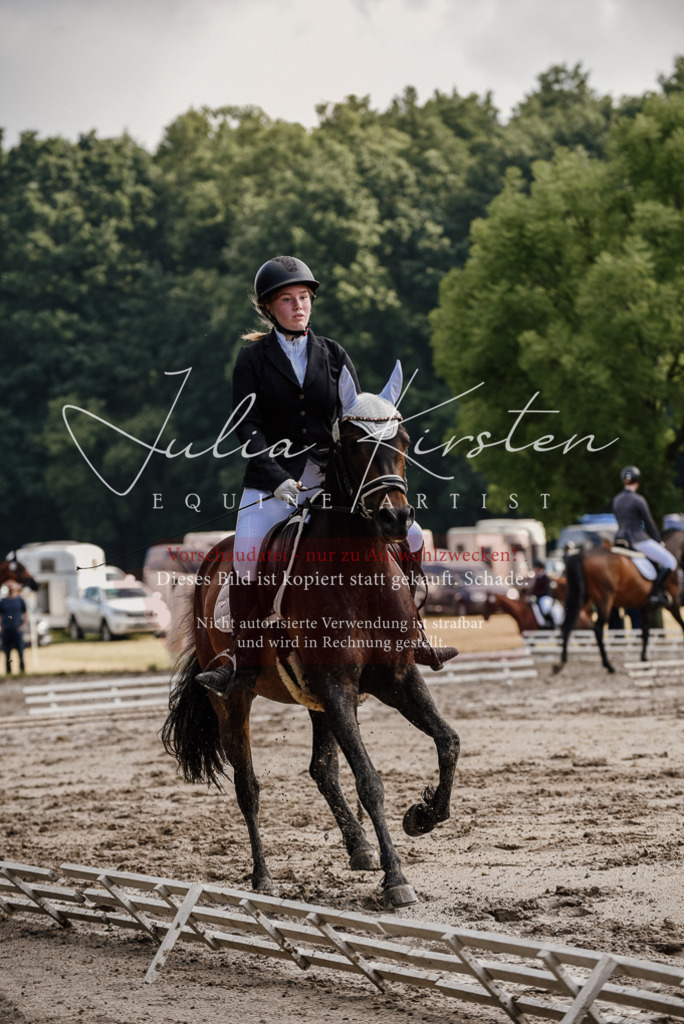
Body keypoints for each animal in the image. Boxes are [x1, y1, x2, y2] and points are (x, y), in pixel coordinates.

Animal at [162, 364, 460, 909]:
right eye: (354, 444)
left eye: (404, 440)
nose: (396, 518)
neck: (358, 573)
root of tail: (211, 558)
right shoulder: (338, 686)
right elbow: (369, 779)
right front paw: (397, 879)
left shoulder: (396, 678)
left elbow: (448, 742)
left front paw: (423, 817)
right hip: (234, 699)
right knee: (248, 785)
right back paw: (263, 878)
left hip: (315, 698)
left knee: (322, 769)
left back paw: (359, 848)